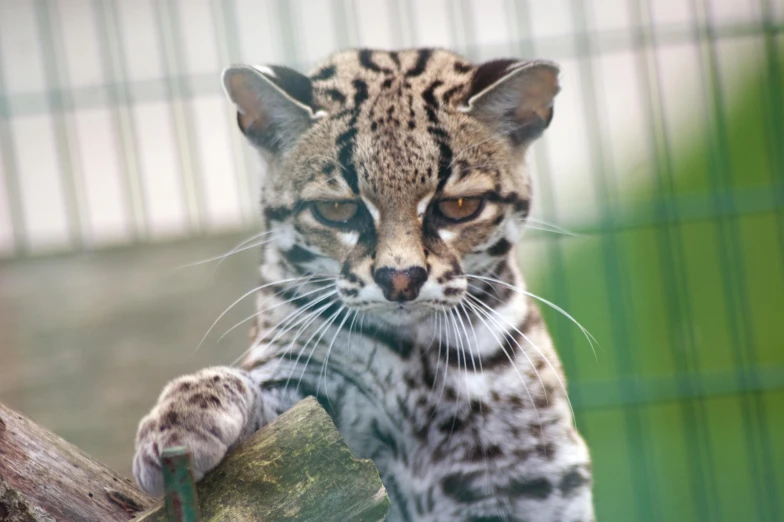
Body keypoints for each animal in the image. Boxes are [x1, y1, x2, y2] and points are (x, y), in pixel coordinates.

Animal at [133, 49, 596, 520]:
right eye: (337, 210)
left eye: (460, 205)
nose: (401, 278)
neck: (414, 359)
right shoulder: (308, 401)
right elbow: (262, 402)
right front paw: (179, 423)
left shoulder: (536, 467)